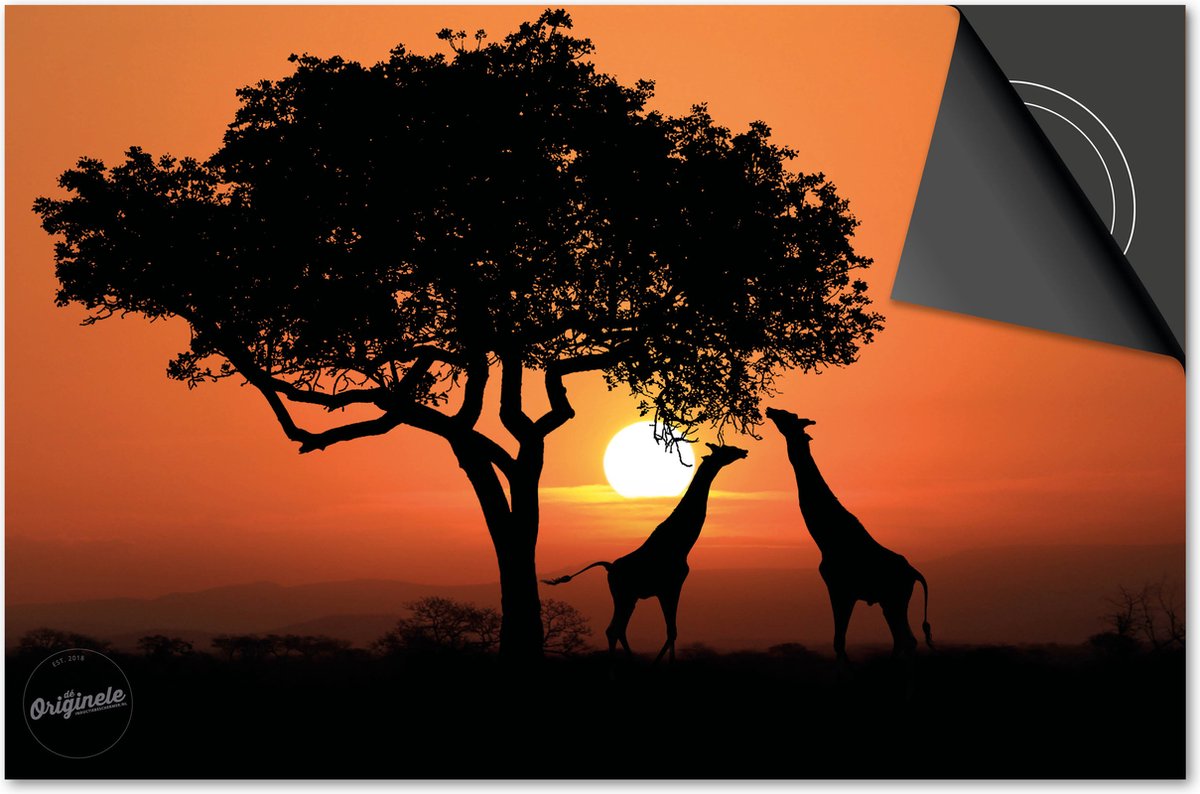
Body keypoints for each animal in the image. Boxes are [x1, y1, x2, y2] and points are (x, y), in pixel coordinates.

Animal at [542, 443, 749, 663]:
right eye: (727, 449)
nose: (743, 451)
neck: (681, 545)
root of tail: (609, 567)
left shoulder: (667, 589)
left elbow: (672, 630)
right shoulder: (670, 587)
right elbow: (672, 631)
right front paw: (663, 663)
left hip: (628, 597)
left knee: (615, 629)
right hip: (623, 594)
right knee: (615, 629)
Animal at [765, 407, 932, 665]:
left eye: (788, 417)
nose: (770, 410)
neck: (828, 539)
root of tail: (914, 573)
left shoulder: (840, 589)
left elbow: (839, 643)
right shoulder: (843, 591)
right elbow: (839, 643)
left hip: (894, 599)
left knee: (906, 640)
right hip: (890, 601)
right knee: (904, 641)